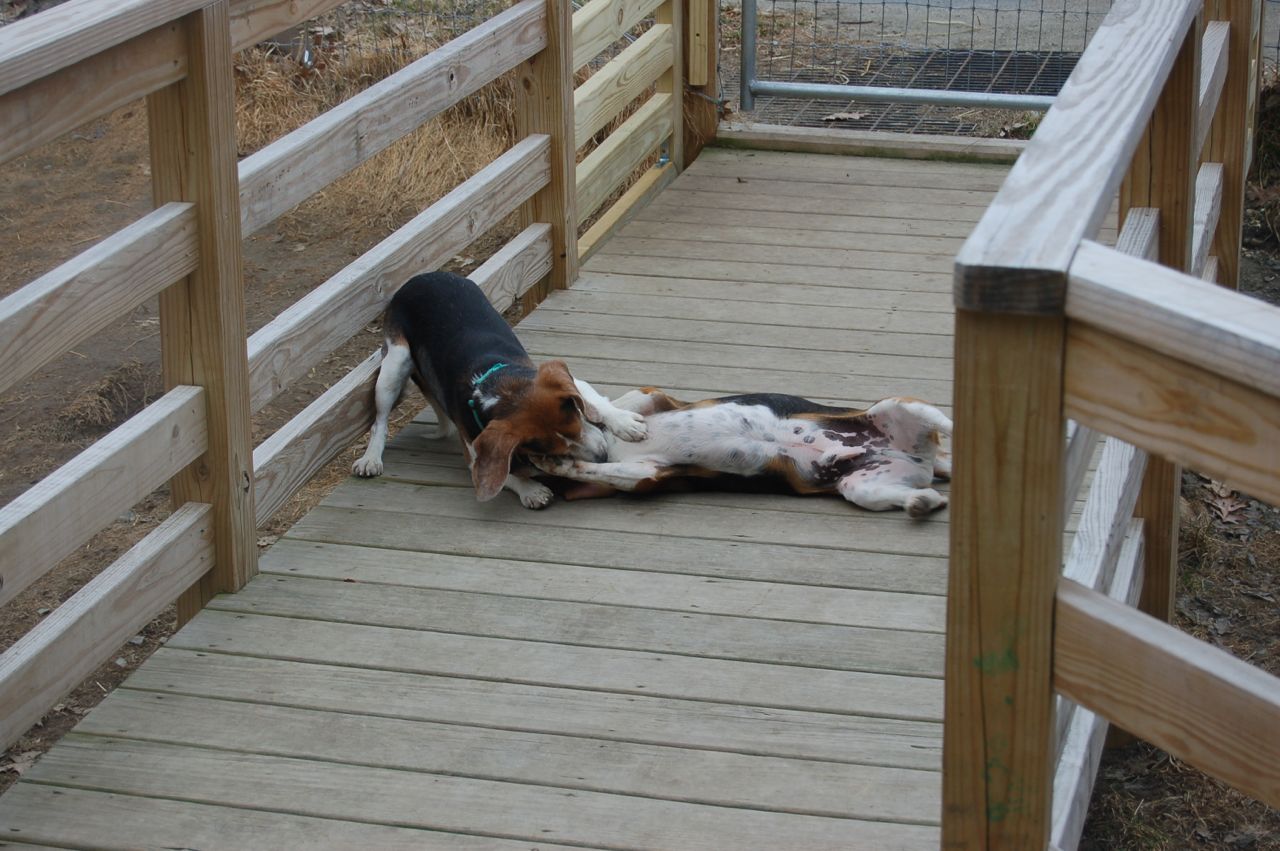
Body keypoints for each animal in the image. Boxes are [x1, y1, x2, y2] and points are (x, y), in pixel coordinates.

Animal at [352, 271, 646, 508]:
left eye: (578, 422)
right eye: (552, 452)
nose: (602, 455)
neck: (496, 388)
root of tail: (418, 278)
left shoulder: (567, 382)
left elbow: (598, 403)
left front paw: (624, 423)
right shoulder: (473, 452)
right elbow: (501, 475)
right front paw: (530, 489)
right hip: (395, 362)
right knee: (379, 421)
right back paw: (370, 458)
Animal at [531, 388, 952, 517]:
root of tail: (919, 460)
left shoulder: (652, 397)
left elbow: (614, 406)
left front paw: (618, 423)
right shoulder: (646, 474)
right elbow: (585, 468)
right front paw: (555, 462)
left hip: (899, 407)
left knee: (950, 423)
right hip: (862, 488)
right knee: (922, 495)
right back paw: (921, 503)